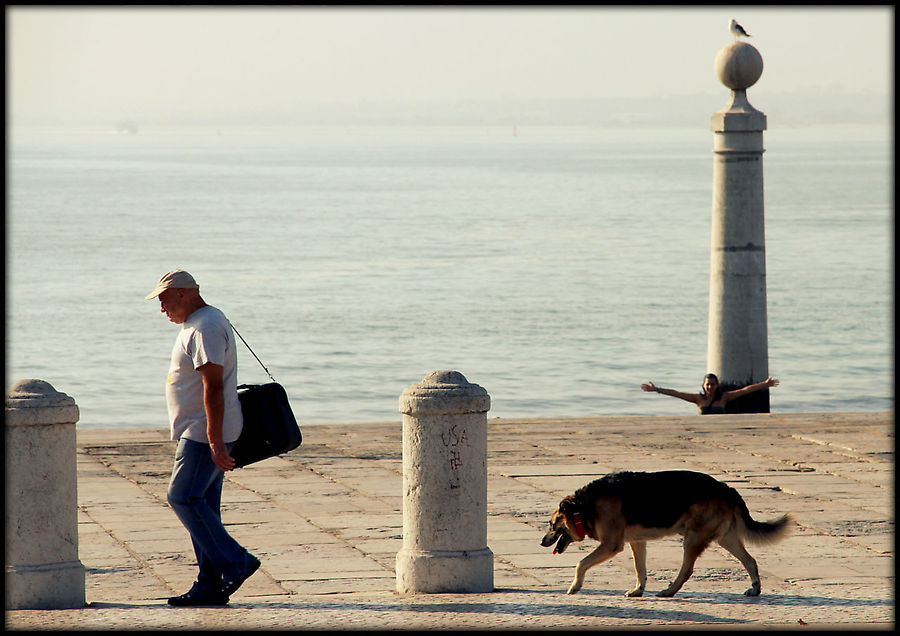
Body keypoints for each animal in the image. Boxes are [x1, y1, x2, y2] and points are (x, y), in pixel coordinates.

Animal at [540, 470, 788, 600]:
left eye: (551, 525)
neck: (582, 508)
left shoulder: (611, 545)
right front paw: (638, 590)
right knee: (750, 561)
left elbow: (581, 563)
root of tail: (727, 488)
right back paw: (755, 588)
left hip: (693, 538)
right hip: (725, 538)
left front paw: (575, 586)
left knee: (687, 570)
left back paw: (669, 591)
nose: (542, 542)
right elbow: (640, 570)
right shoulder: (637, 542)